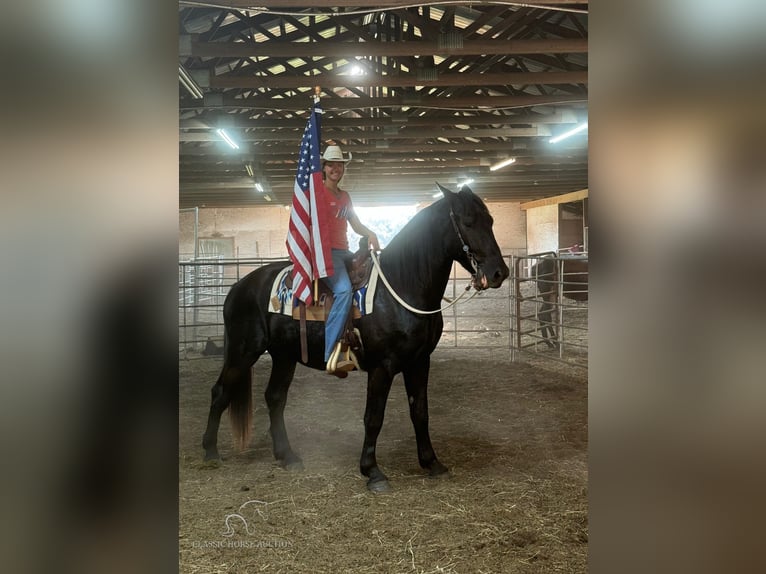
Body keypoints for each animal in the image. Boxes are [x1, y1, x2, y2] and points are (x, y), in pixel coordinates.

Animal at [202, 187, 510, 492]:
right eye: (468, 222)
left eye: (491, 221)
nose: (499, 273)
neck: (401, 285)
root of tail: (240, 286)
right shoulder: (382, 367)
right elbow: (373, 418)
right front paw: (372, 471)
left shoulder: (420, 362)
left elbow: (420, 412)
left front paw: (432, 463)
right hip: (243, 351)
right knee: (220, 392)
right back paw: (210, 452)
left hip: (284, 356)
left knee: (275, 398)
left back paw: (287, 456)